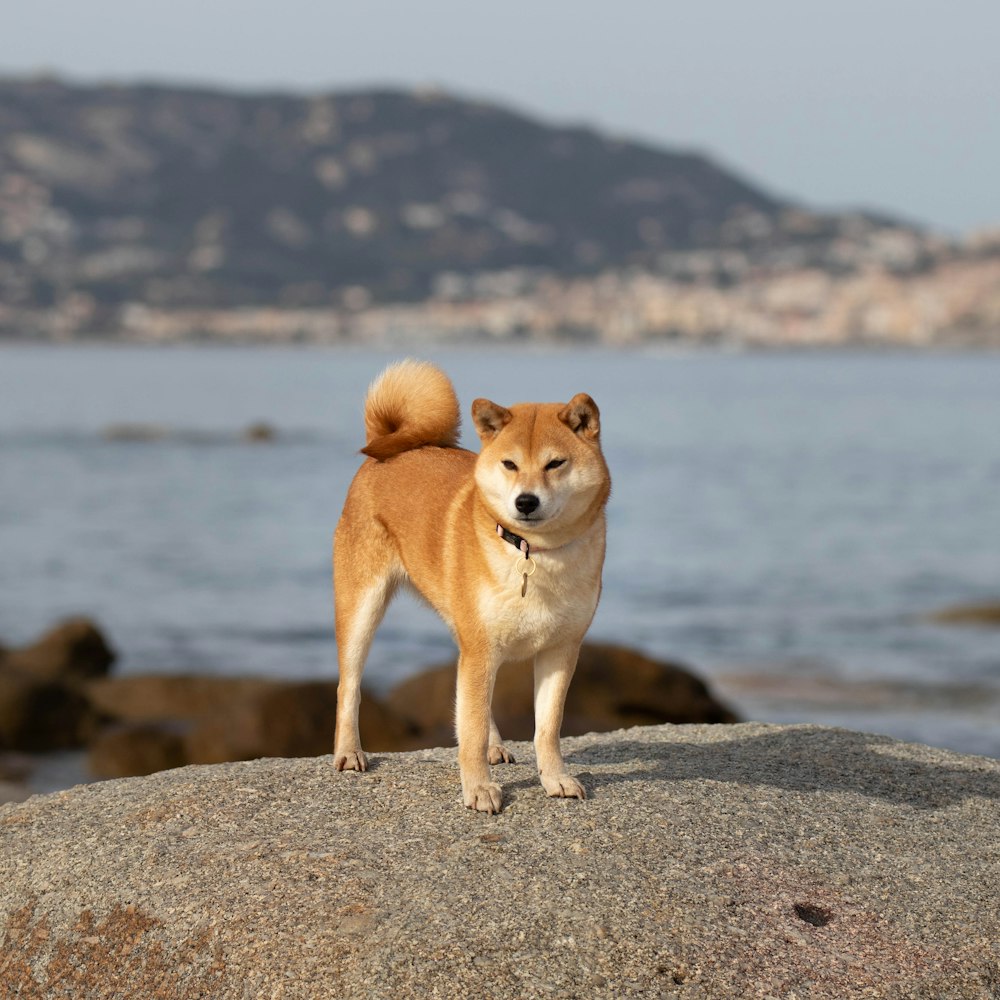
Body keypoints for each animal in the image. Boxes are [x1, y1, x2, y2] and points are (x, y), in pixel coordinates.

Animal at [334, 360, 608, 812]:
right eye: (510, 465)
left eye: (555, 463)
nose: (526, 502)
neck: (534, 553)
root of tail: (386, 445)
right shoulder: (481, 646)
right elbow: (472, 727)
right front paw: (479, 788)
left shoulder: (560, 648)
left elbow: (546, 728)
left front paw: (556, 779)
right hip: (362, 607)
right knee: (350, 685)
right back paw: (348, 752)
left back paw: (496, 745)